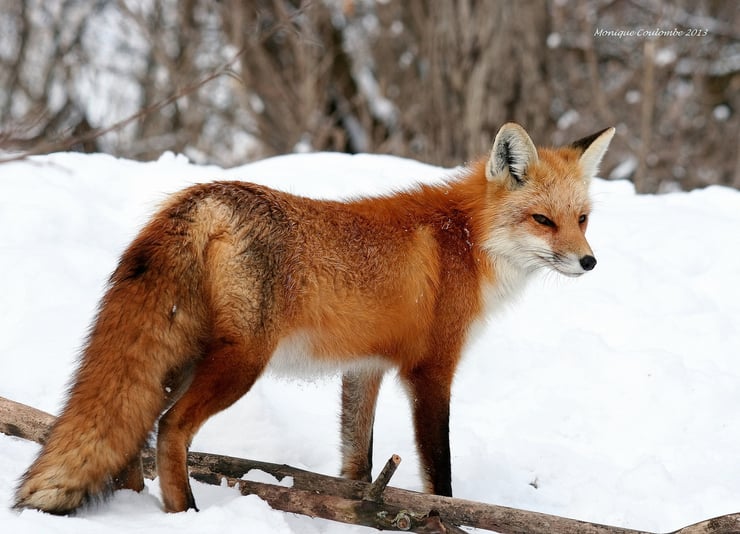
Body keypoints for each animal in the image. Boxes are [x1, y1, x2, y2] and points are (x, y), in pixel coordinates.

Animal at [14, 122, 614, 515]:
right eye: (542, 220)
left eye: (583, 219)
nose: (589, 261)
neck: (465, 241)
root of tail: (204, 196)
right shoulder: (430, 371)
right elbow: (440, 473)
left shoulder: (366, 367)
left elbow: (357, 468)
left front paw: (360, 514)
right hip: (239, 364)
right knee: (170, 428)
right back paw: (183, 512)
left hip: (181, 359)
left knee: (132, 431)